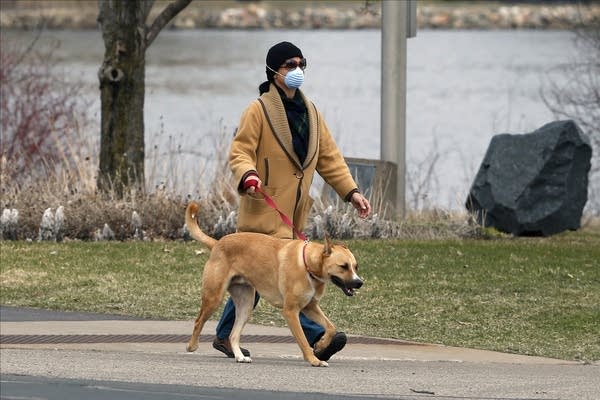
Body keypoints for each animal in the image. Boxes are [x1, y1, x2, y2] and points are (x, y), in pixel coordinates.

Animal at [184, 202, 360, 368]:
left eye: (355, 266)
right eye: (343, 266)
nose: (359, 282)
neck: (307, 264)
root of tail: (217, 243)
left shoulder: (310, 307)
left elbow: (331, 327)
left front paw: (322, 345)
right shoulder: (291, 311)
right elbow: (303, 340)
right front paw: (314, 360)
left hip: (246, 304)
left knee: (233, 334)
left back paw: (239, 356)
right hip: (214, 297)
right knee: (198, 321)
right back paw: (192, 346)